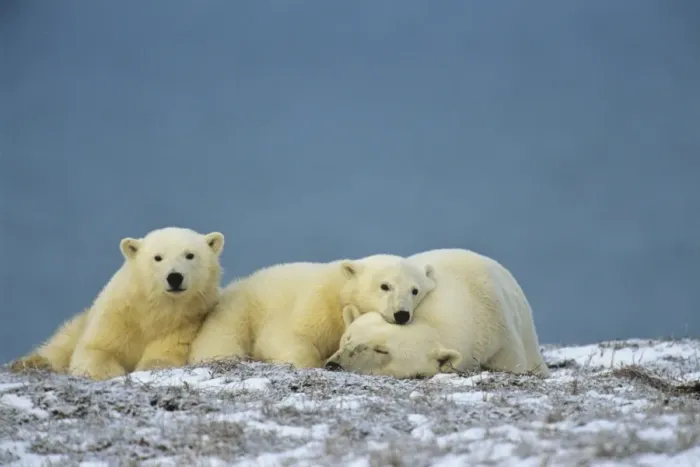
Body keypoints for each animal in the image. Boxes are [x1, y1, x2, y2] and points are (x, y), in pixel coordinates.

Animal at [10, 226, 225, 381]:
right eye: (157, 257)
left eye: (190, 255)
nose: (174, 277)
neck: (154, 309)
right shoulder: (118, 315)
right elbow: (97, 348)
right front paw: (108, 372)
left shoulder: (183, 323)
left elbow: (163, 354)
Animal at [188, 254, 436, 369]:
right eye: (385, 286)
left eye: (415, 290)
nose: (401, 314)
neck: (339, 291)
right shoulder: (314, 306)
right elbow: (285, 339)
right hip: (237, 313)